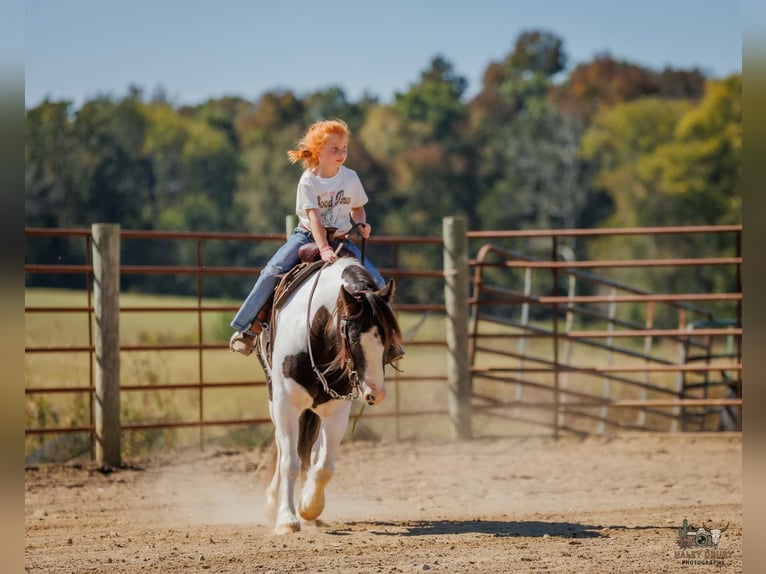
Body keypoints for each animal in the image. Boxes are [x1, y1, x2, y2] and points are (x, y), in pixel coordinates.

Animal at [256, 256, 402, 534]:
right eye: (353, 339)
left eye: (388, 339)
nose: (375, 393)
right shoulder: (285, 403)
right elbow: (289, 461)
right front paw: (287, 519)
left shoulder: (337, 409)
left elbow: (323, 467)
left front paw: (309, 506)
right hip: (274, 398)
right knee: (283, 447)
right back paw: (271, 501)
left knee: (313, 452)